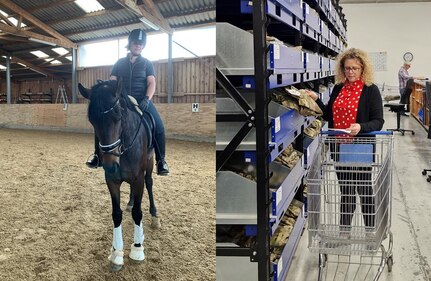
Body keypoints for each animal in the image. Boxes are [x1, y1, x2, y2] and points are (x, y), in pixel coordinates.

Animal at [78, 78, 160, 270]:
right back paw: (129, 203)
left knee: (149, 183)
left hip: (149, 163)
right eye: (92, 120)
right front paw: (116, 253)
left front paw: (137, 249)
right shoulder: (112, 180)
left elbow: (138, 213)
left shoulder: (138, 178)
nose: (110, 166)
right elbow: (116, 214)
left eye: (118, 115)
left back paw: (154, 215)